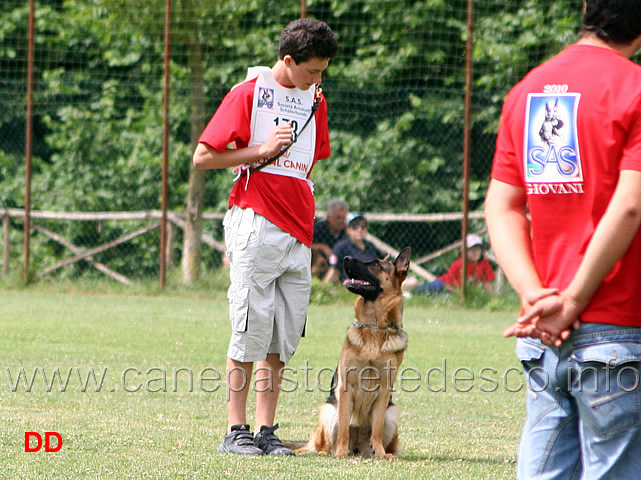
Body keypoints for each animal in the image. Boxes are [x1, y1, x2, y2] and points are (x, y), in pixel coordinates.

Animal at [284, 248, 410, 458]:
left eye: (375, 264)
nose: (345, 258)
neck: (374, 327)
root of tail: (358, 448)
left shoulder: (384, 392)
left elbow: (376, 428)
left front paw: (381, 454)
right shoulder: (345, 388)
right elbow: (344, 427)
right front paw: (341, 453)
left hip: (391, 414)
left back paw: (381, 452)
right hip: (328, 410)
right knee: (326, 443)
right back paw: (330, 452)